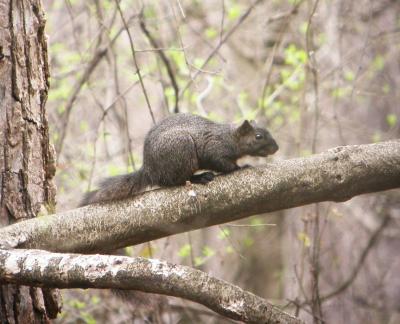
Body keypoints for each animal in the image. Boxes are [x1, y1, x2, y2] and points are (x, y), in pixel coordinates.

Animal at [79, 113, 276, 205]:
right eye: (258, 136)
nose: (277, 148)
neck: (230, 137)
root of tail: (150, 170)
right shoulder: (214, 149)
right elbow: (222, 163)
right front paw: (240, 167)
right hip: (182, 151)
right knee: (174, 181)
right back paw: (200, 177)